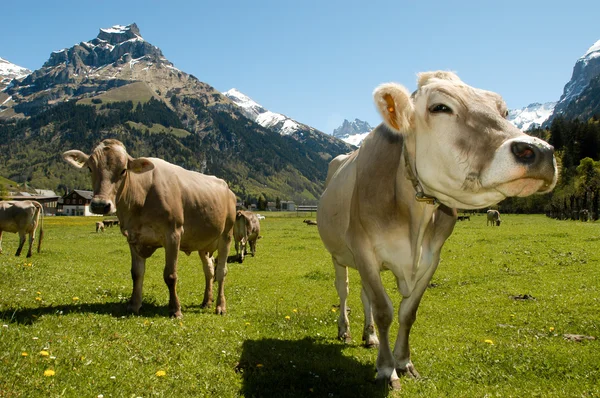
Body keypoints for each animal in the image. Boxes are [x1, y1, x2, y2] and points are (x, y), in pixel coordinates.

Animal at [63, 140, 237, 318]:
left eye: (123, 170)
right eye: (90, 168)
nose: (100, 205)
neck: (142, 197)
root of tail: (228, 189)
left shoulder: (173, 234)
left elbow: (170, 275)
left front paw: (175, 309)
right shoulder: (132, 236)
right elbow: (136, 273)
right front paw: (134, 305)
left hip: (226, 235)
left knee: (221, 271)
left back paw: (220, 306)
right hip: (204, 243)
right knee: (209, 270)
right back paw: (206, 301)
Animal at [318, 71, 556, 388]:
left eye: (504, 111)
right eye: (440, 107)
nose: (539, 151)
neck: (415, 218)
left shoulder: (432, 258)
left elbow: (408, 313)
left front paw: (404, 362)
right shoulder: (364, 250)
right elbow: (384, 311)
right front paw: (387, 369)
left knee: (363, 294)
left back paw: (369, 336)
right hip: (339, 255)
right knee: (343, 290)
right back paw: (344, 330)